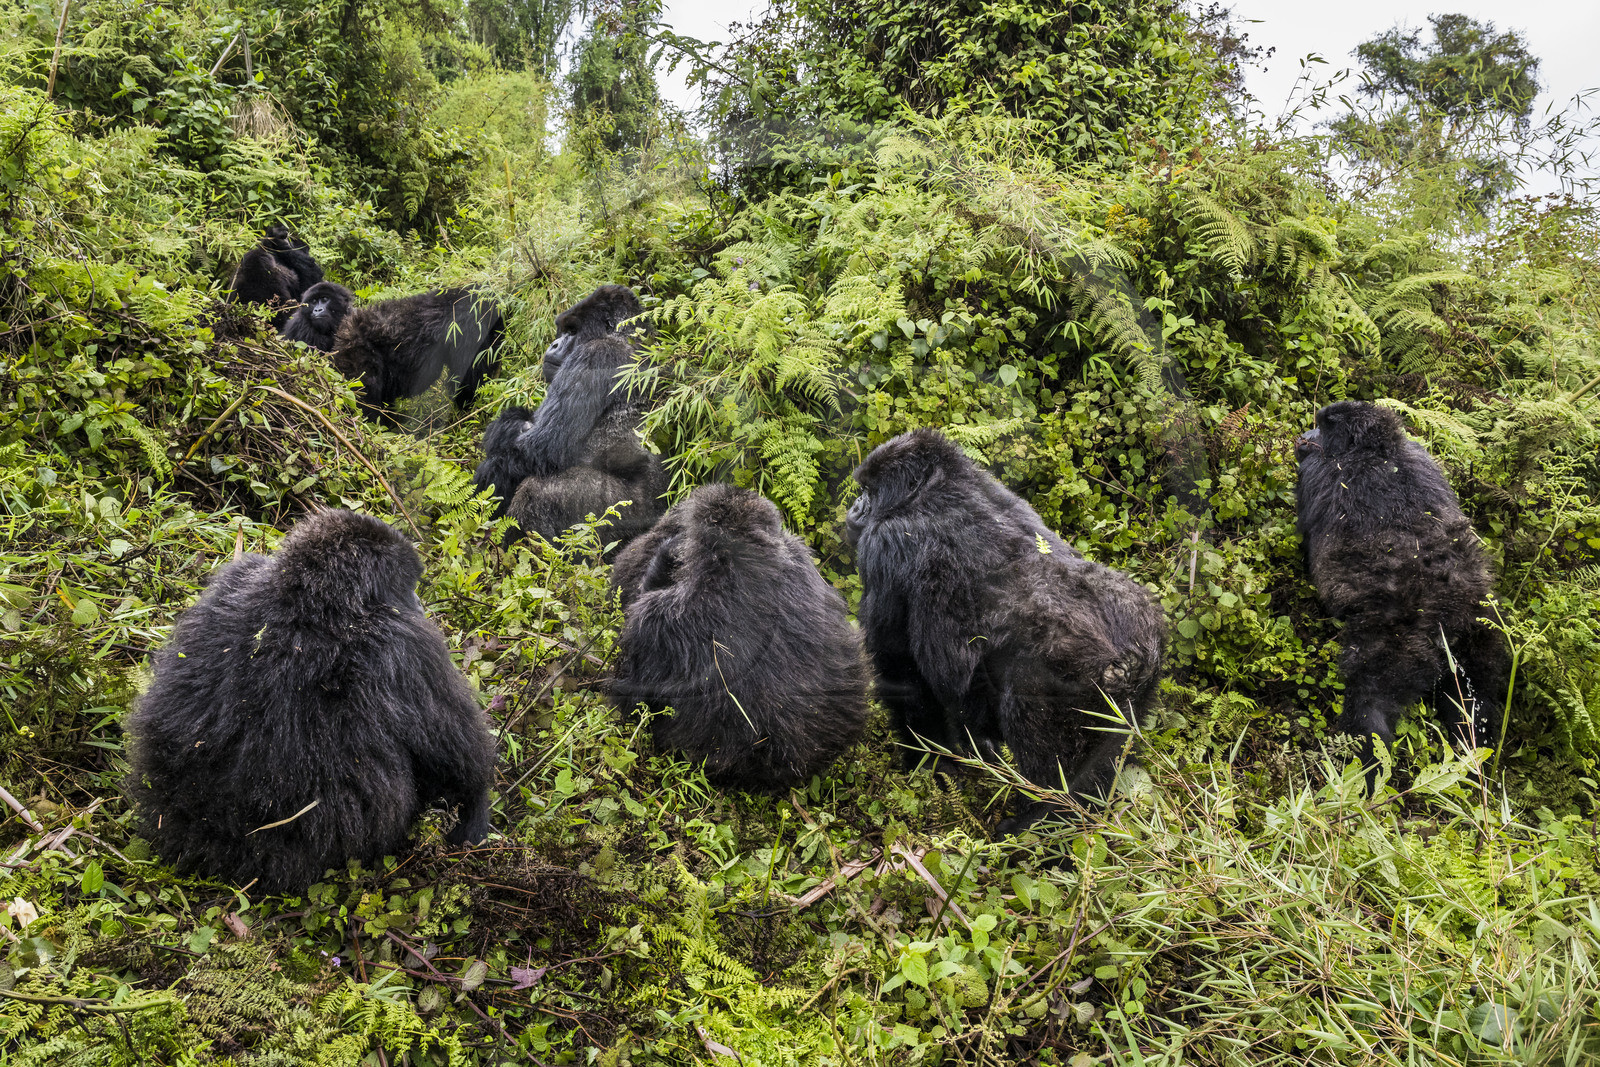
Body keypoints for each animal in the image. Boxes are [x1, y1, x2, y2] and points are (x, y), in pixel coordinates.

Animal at [125, 509, 496, 892]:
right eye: (407, 585)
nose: (419, 604)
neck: (308, 597)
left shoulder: (236, 577)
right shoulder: (406, 643)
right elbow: (460, 759)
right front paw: (476, 809)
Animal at [846, 428, 1166, 833]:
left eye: (869, 492)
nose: (855, 507)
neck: (937, 484)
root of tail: (1128, 658)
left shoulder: (883, 543)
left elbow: (899, 666)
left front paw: (931, 765)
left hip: (1064, 680)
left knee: (1052, 772)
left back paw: (1034, 825)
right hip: (1140, 677)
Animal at [1295, 399, 1510, 770]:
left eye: (1322, 426)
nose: (1305, 435)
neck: (1379, 448)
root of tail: (1444, 621)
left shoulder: (1320, 473)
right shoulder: (1421, 454)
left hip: (1397, 642)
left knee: (1371, 697)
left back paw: (1368, 762)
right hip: (1480, 630)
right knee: (1474, 699)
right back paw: (1475, 752)